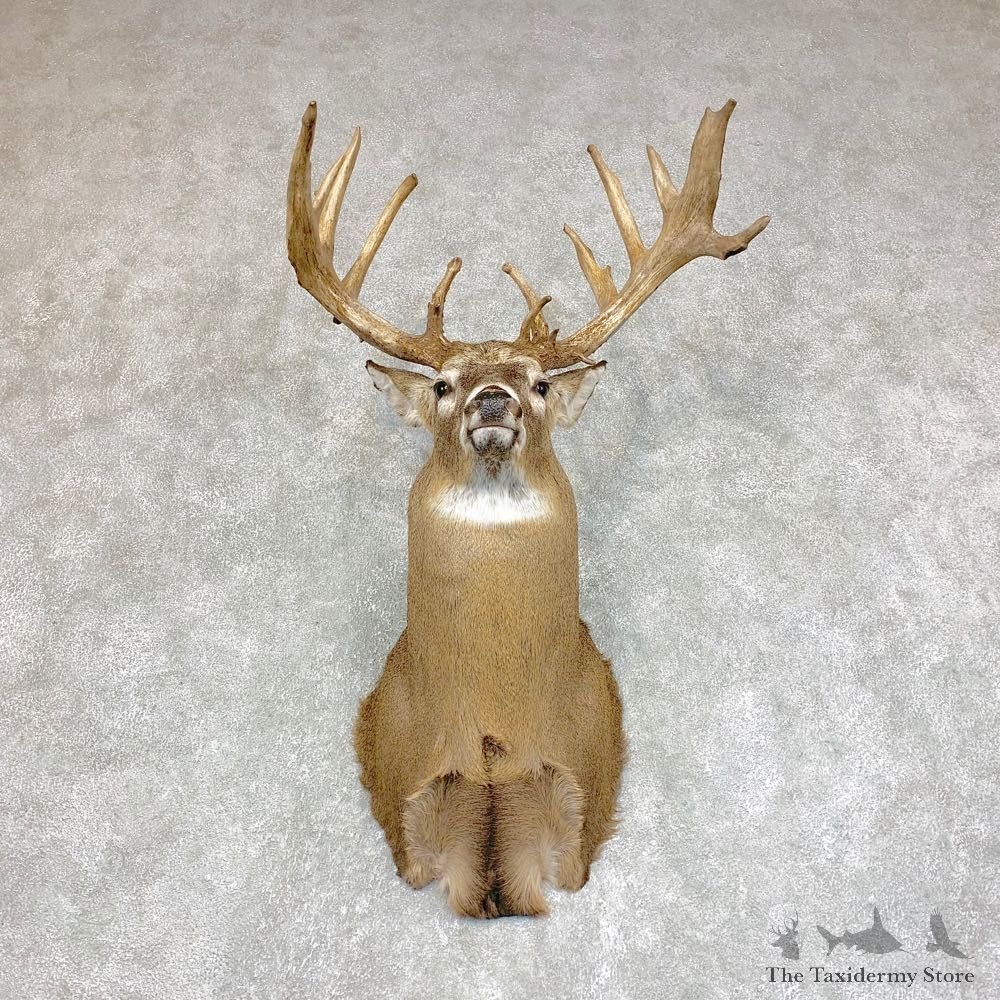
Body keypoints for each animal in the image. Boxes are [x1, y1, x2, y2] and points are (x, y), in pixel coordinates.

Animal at [286, 99, 769, 918]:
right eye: (442, 384)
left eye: (540, 384)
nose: (491, 399)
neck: (493, 734)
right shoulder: (398, 773)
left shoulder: (585, 784)